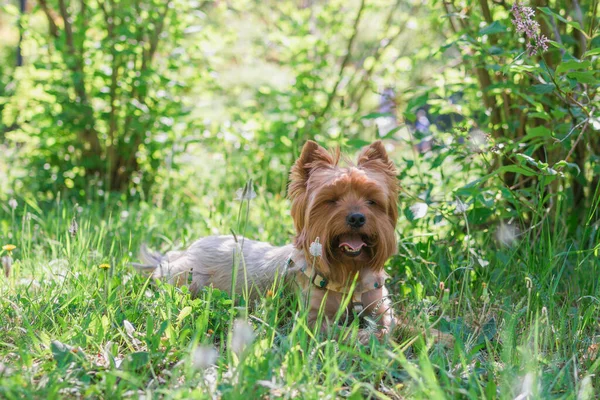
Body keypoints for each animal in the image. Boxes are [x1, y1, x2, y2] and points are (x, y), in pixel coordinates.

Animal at [136, 141, 442, 344]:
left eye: (372, 201)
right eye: (331, 200)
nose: (356, 217)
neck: (349, 273)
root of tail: (175, 255)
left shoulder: (381, 309)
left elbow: (407, 326)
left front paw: (439, 338)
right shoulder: (313, 322)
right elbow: (353, 332)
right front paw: (376, 339)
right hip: (188, 280)